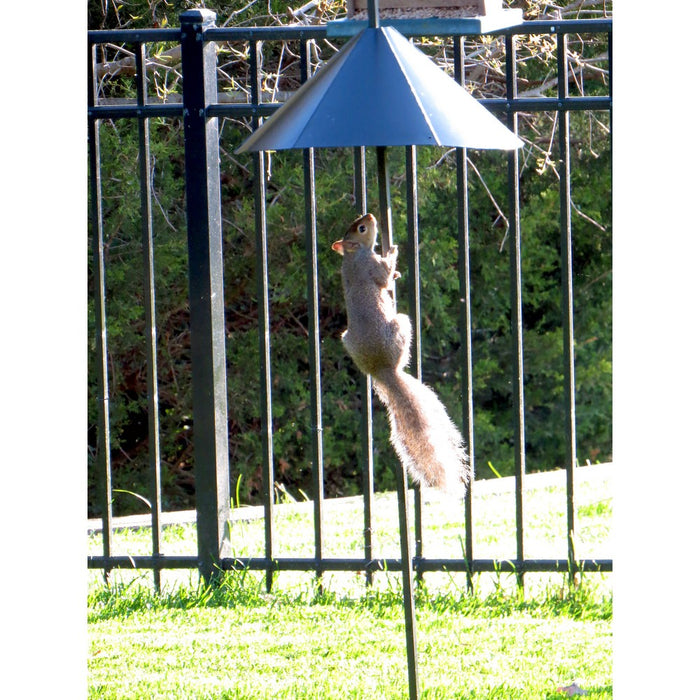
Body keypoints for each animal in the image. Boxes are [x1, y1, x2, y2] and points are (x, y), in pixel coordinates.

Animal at [332, 213, 469, 493]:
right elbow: (383, 279)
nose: (371, 215)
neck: (353, 255)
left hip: (347, 340)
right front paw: (393, 254)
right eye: (362, 228)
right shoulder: (372, 265)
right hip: (402, 325)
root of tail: (383, 370)